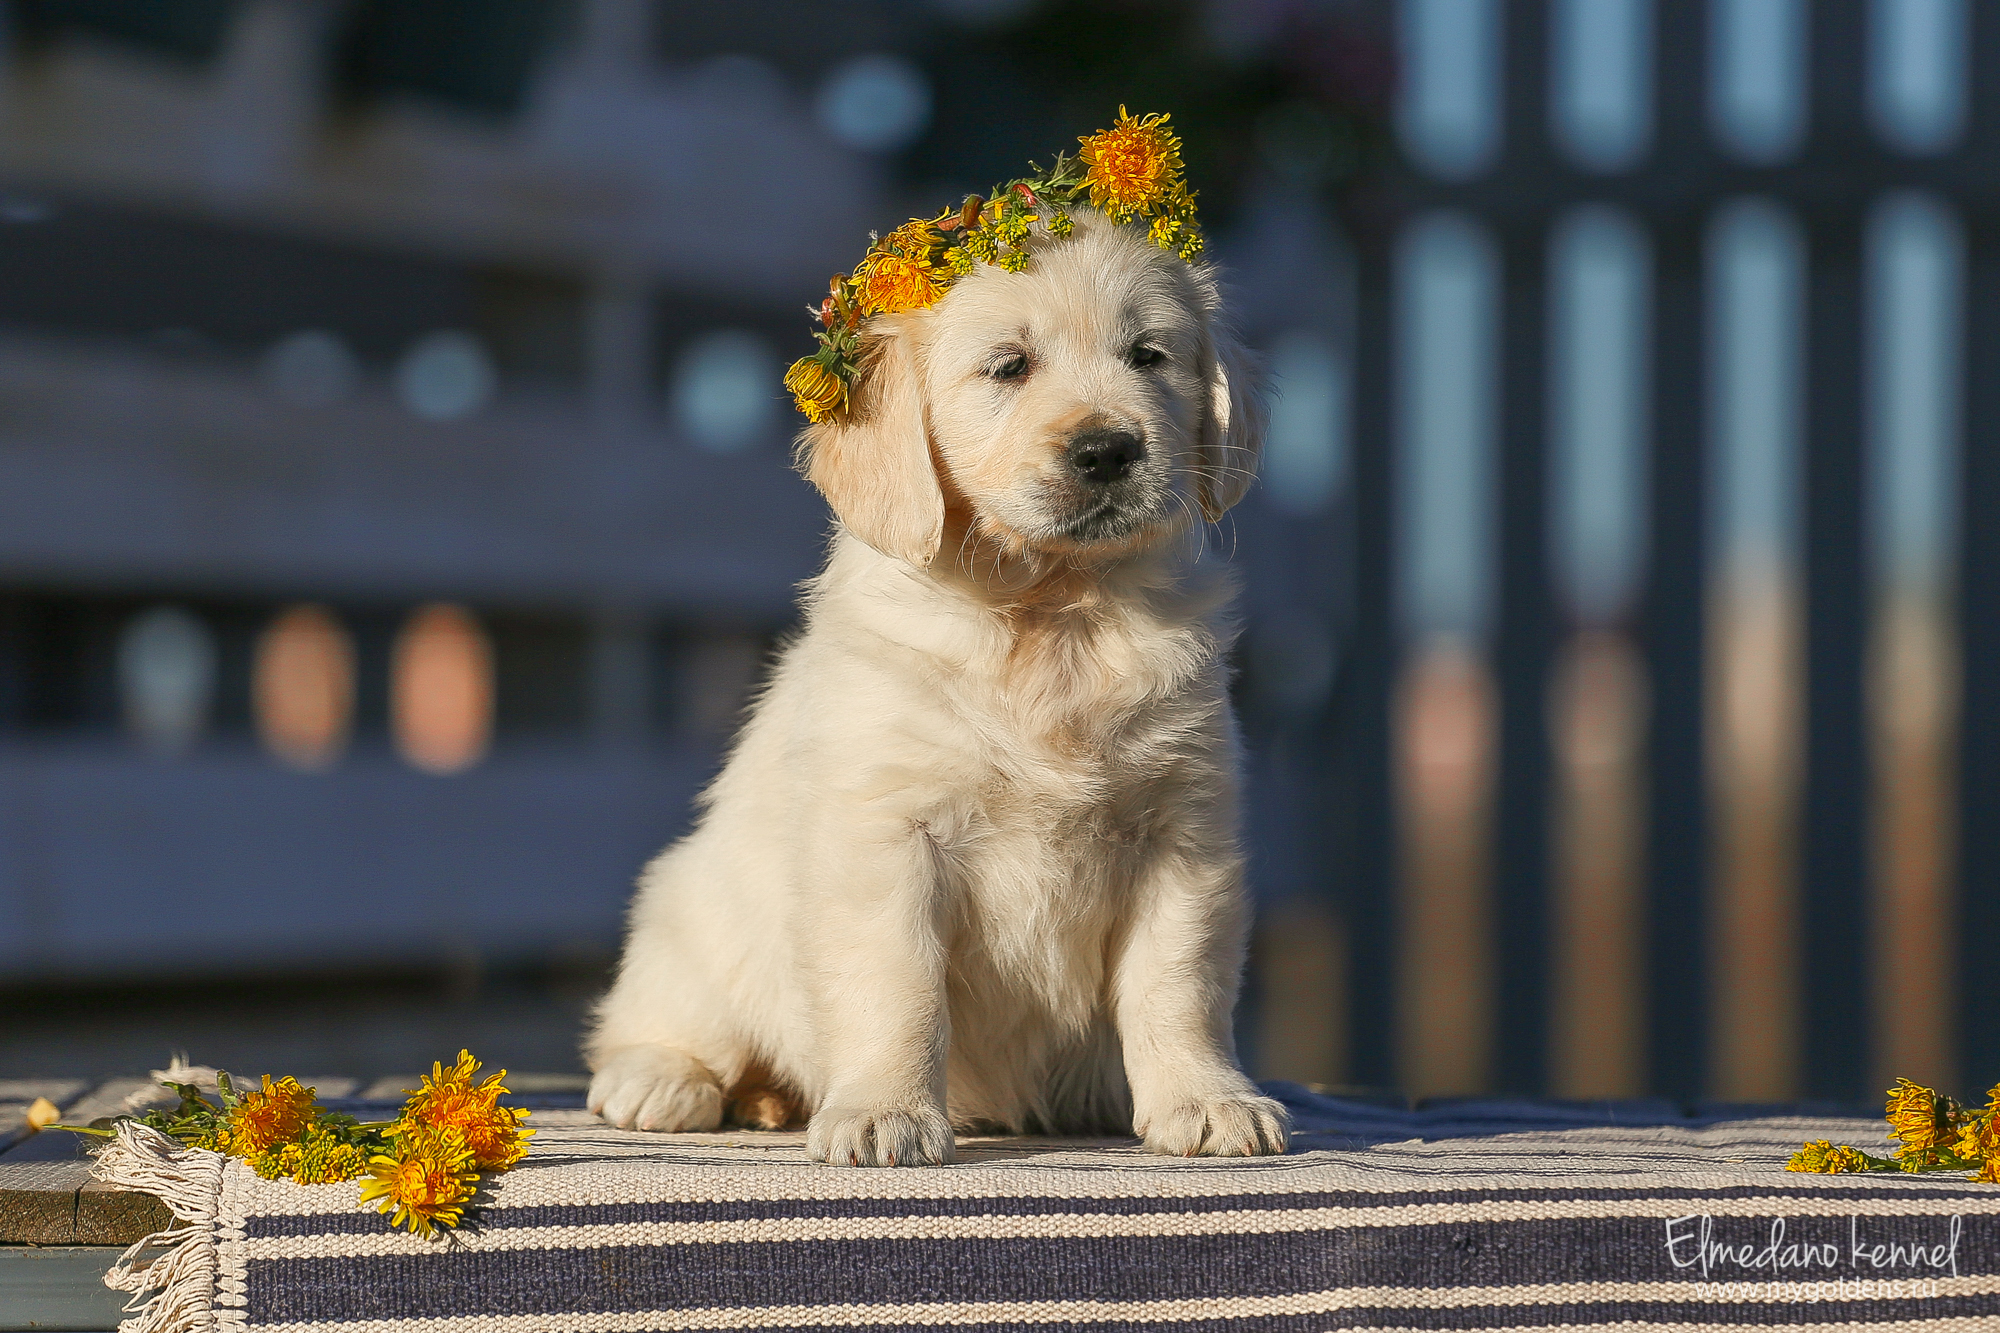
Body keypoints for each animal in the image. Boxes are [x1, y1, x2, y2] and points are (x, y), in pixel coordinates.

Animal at [584, 208, 1288, 1160]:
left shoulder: (1183, 833)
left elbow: (1176, 982)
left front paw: (1208, 1098)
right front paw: (884, 1110)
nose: (1108, 449)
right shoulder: (888, 832)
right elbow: (899, 986)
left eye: (1149, 356)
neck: (1050, 611)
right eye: (1009, 365)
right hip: (691, 905)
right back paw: (665, 1080)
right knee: (655, 1020)